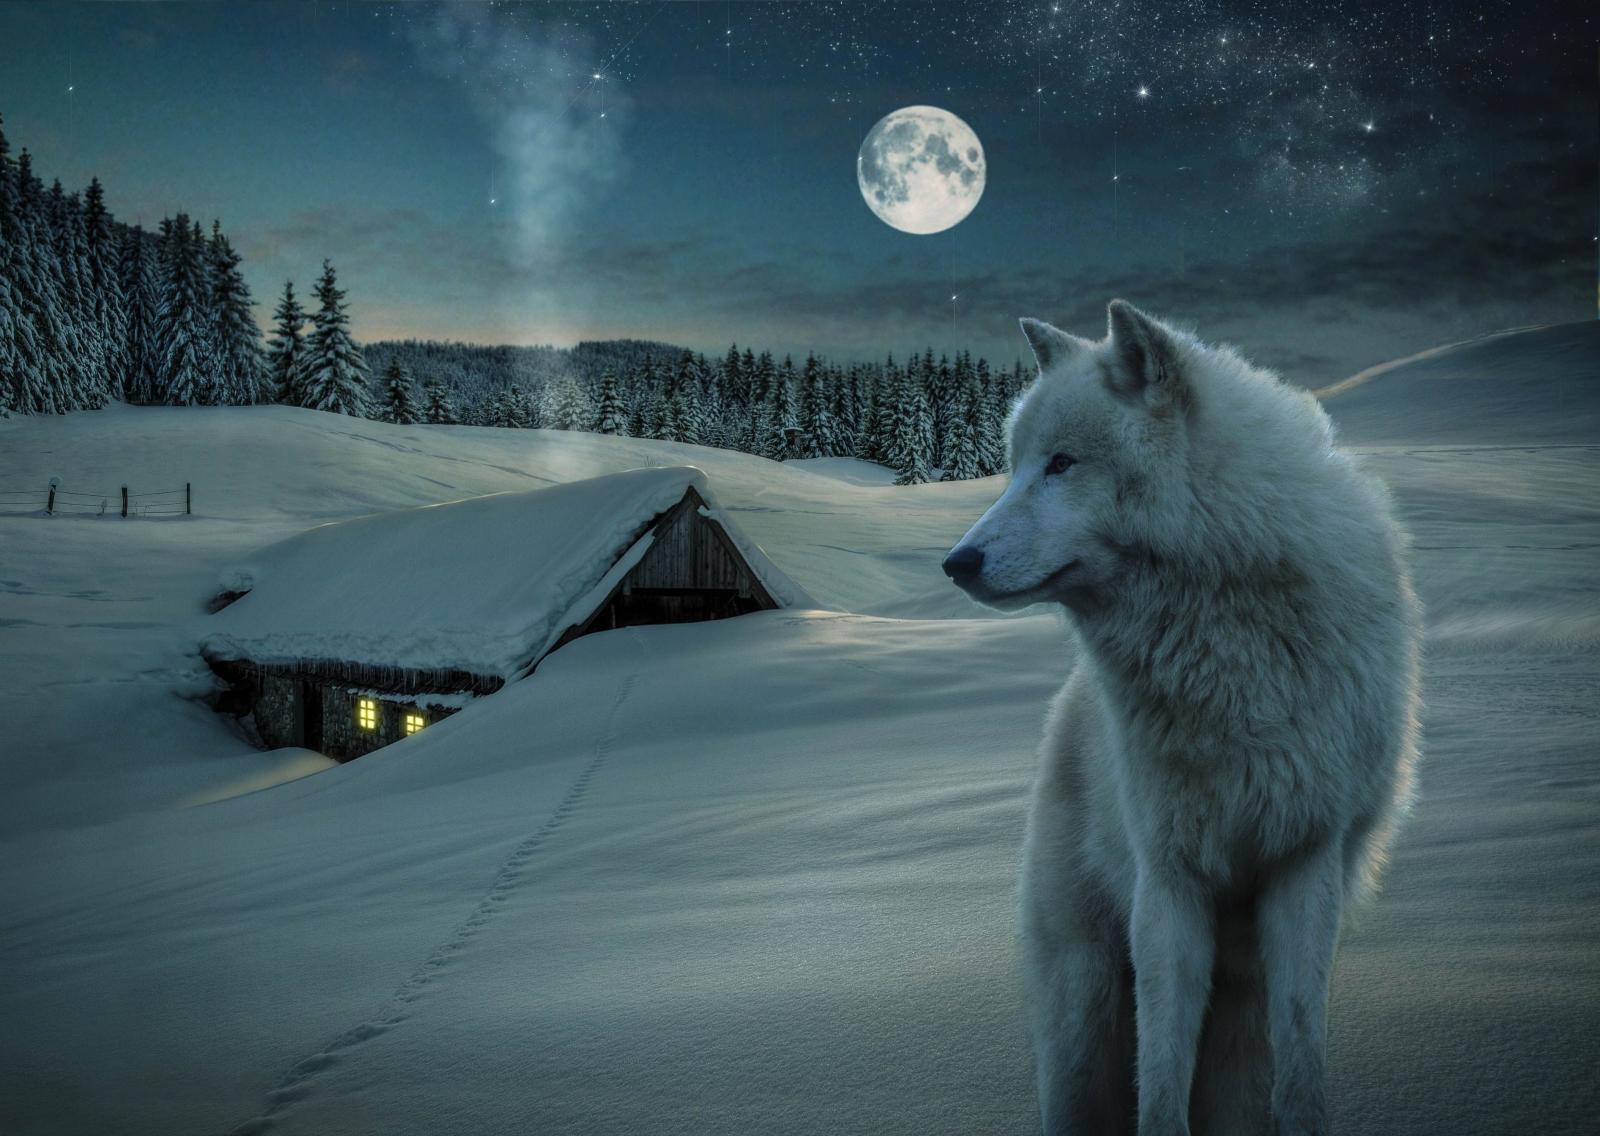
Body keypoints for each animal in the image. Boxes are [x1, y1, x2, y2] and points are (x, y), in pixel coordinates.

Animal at [944, 301, 1421, 1135]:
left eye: (1062, 464)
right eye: (1016, 465)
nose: (956, 562)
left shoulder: (1306, 861)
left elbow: (1302, 1062)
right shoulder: (1168, 881)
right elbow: (1162, 1080)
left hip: (1238, 1013)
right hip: (1082, 1010)